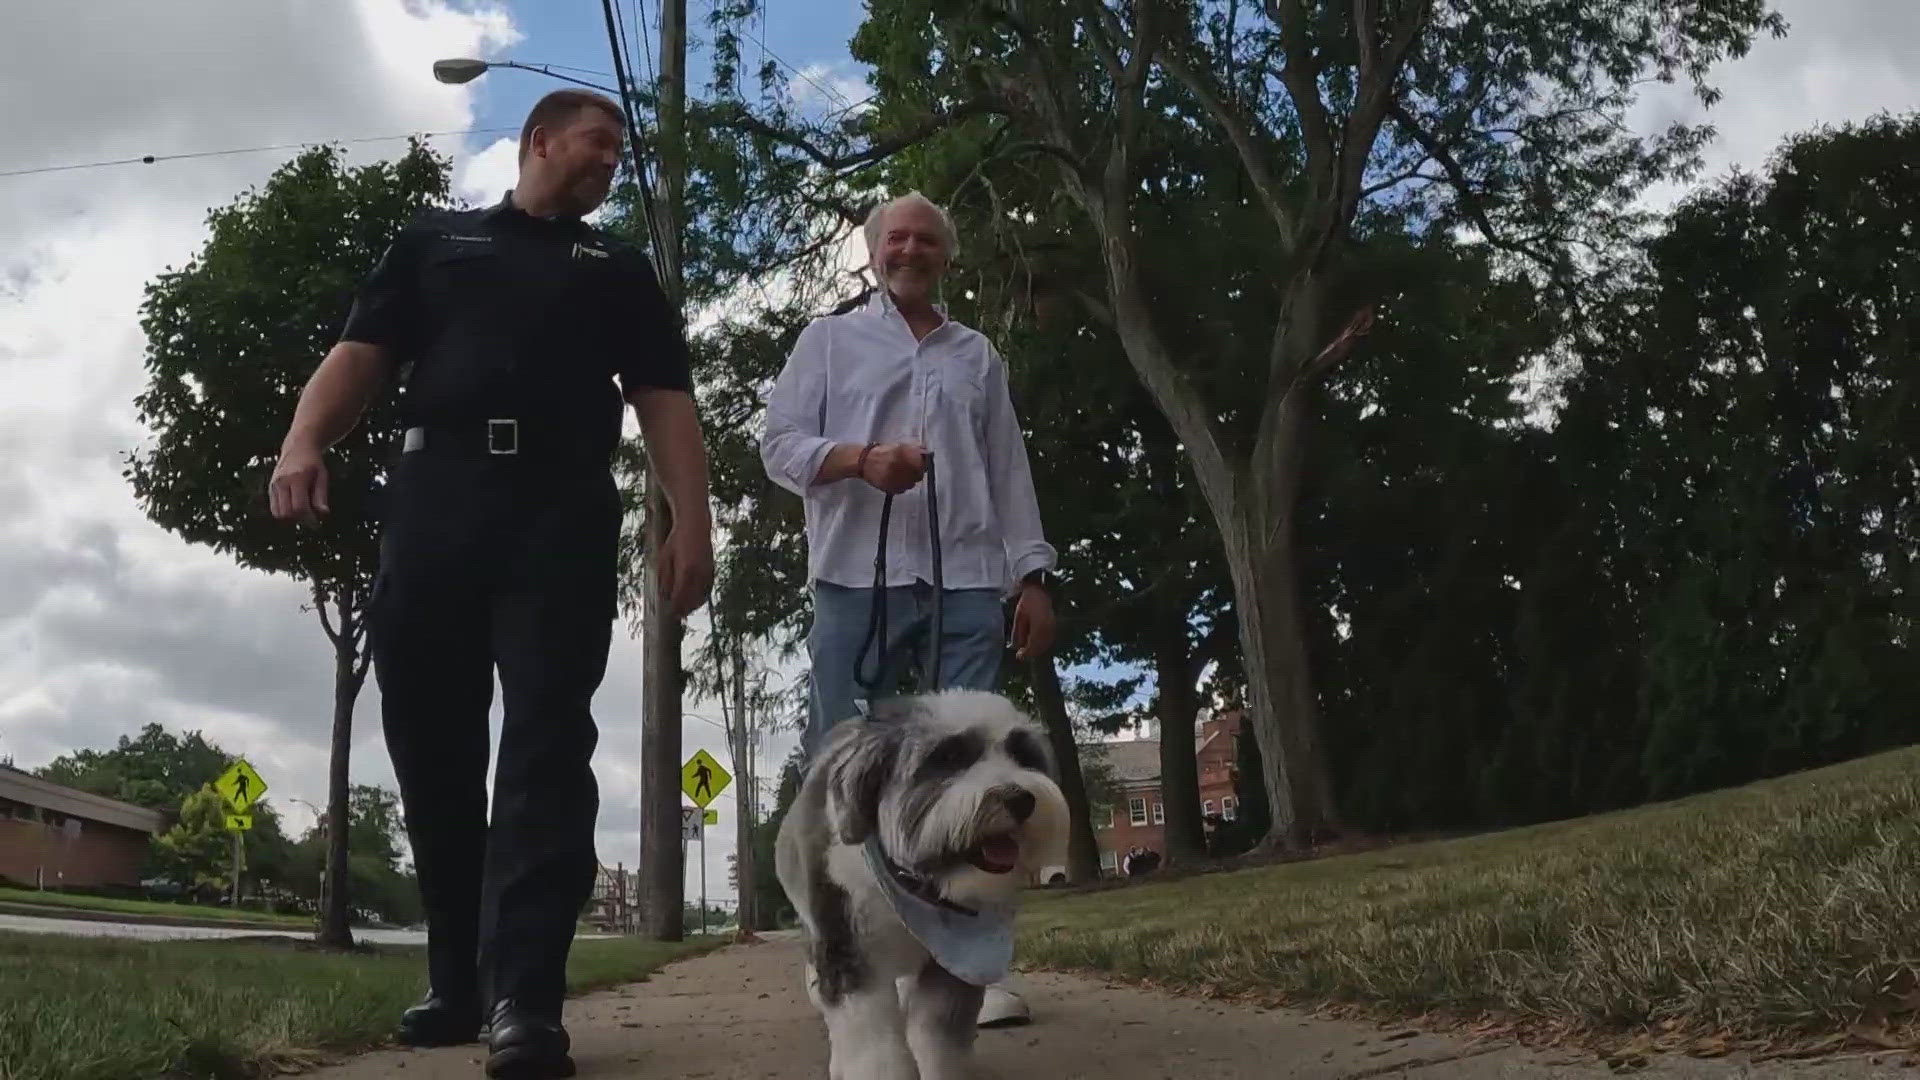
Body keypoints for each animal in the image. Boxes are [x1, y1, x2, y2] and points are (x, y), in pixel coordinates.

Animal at [779, 684, 1082, 1068]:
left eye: (1022, 754)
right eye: (949, 756)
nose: (1019, 798)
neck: (913, 883)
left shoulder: (952, 967)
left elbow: (939, 1034)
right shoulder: (849, 950)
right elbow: (875, 1050)